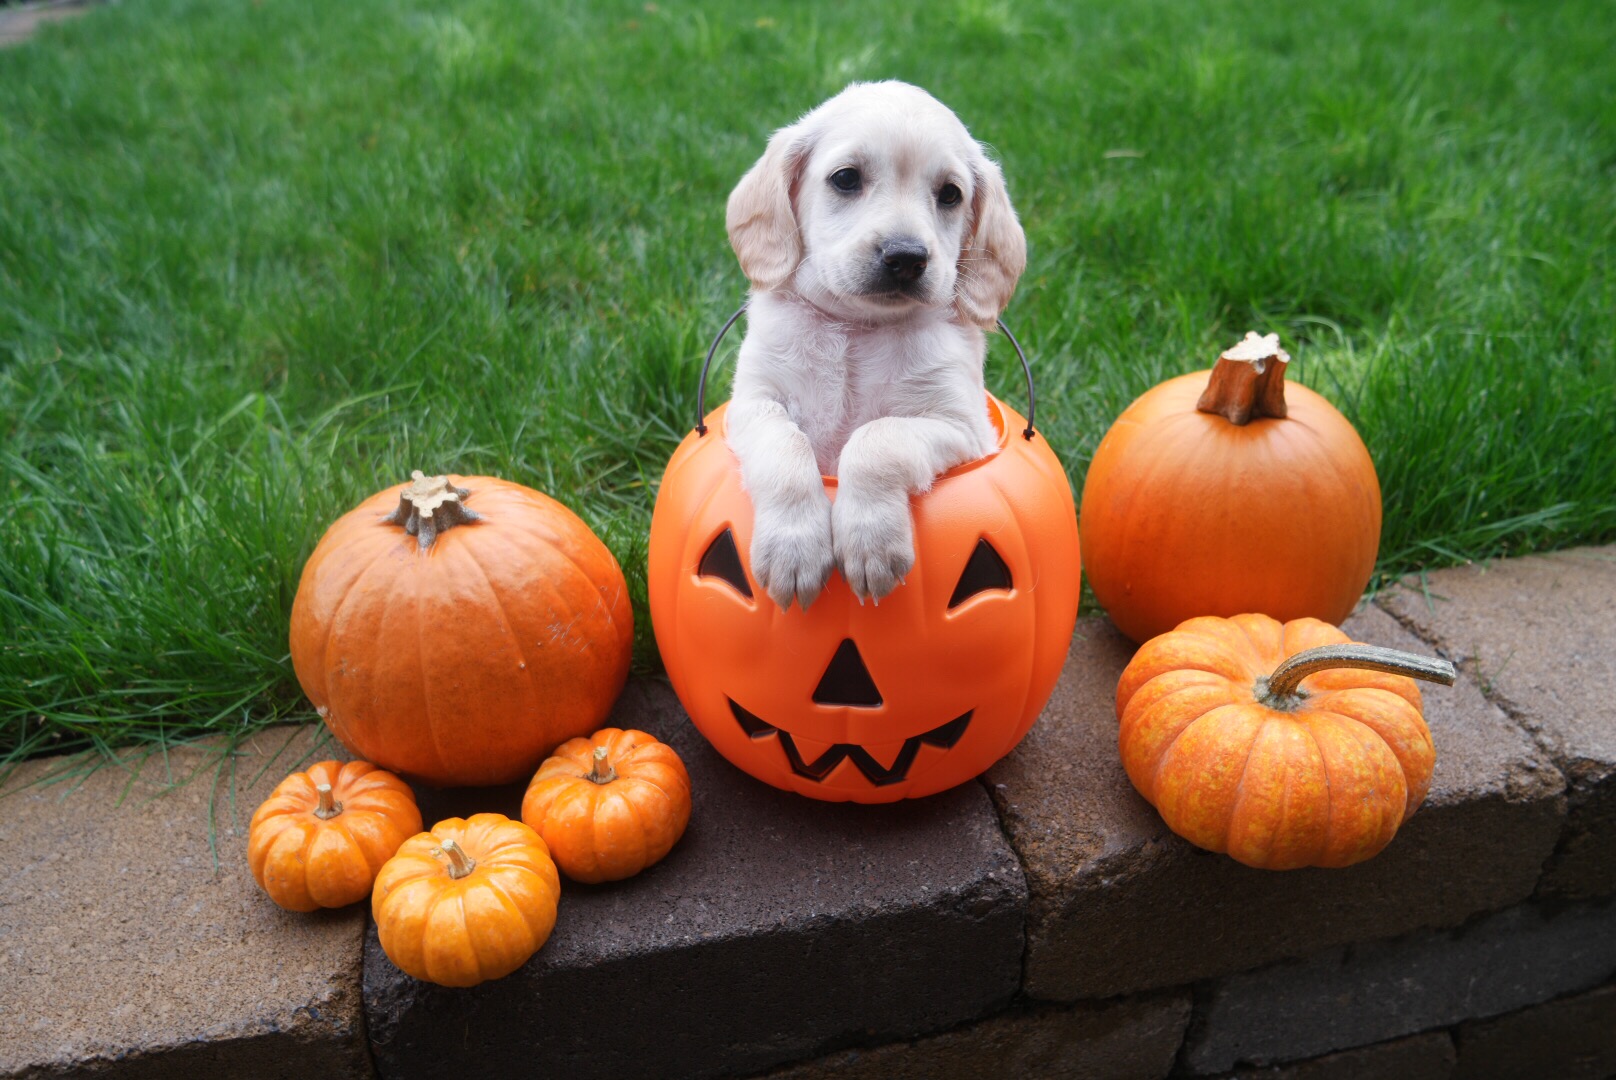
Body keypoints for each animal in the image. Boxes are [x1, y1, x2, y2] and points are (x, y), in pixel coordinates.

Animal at [723, 82, 1021, 607]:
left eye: (950, 194)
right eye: (846, 179)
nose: (906, 258)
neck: (858, 329)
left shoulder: (962, 428)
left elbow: (877, 440)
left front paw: (871, 545)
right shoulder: (751, 403)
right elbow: (785, 444)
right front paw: (794, 549)